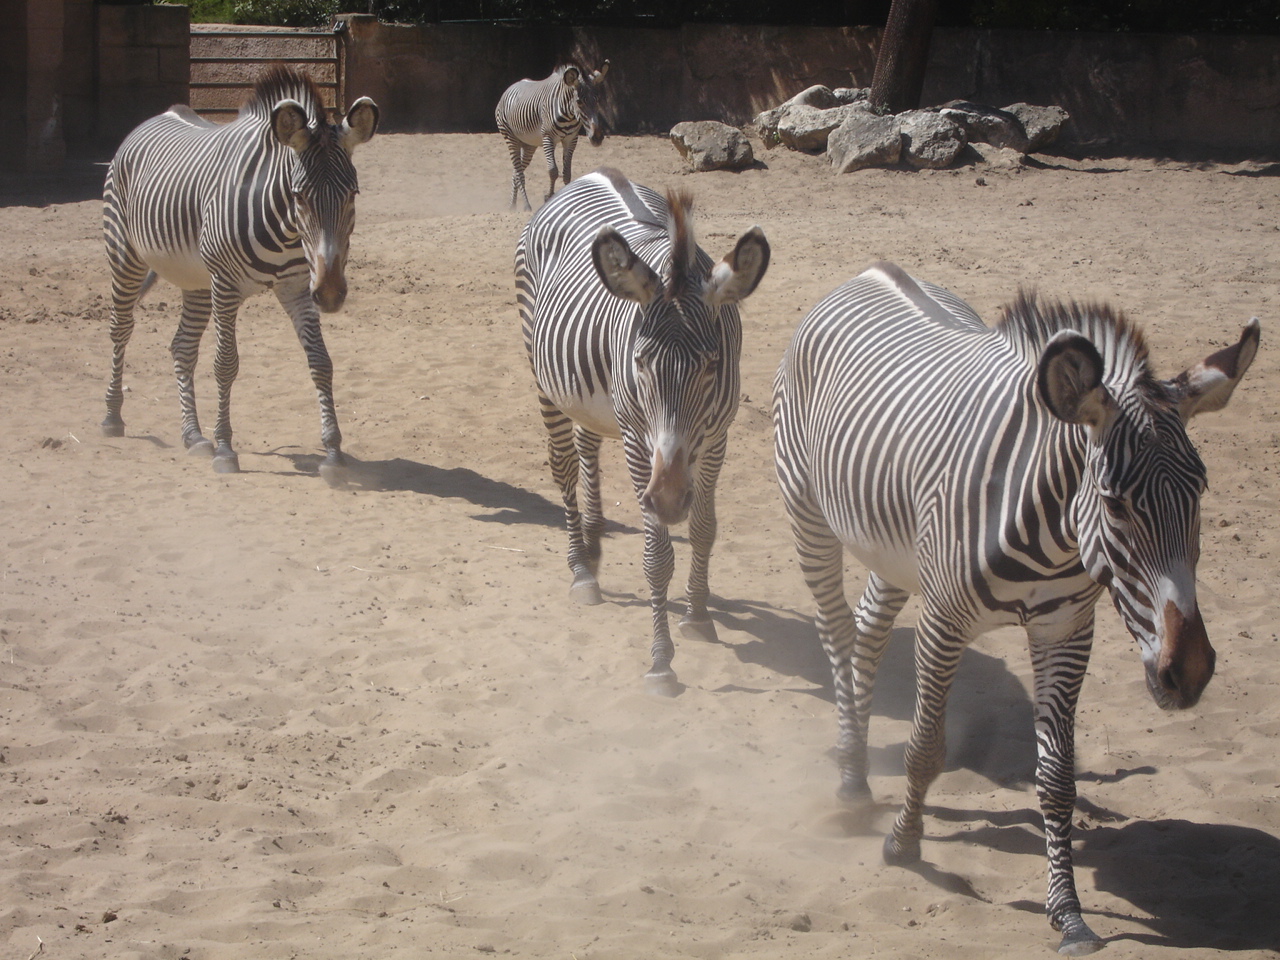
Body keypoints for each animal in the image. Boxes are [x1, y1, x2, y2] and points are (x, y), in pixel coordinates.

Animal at [99, 65, 378, 481]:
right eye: (299, 197)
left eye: (353, 194)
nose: (329, 294)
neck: (283, 227)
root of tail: (157, 116)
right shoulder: (226, 286)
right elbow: (225, 364)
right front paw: (226, 449)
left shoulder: (297, 286)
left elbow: (320, 361)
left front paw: (332, 452)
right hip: (125, 254)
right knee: (121, 329)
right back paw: (113, 417)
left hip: (197, 281)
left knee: (182, 347)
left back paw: (193, 436)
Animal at [494, 61, 609, 211]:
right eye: (579, 102)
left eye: (597, 100)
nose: (597, 137)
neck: (569, 115)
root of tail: (510, 88)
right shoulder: (548, 138)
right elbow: (553, 171)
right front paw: (549, 197)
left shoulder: (571, 140)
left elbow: (567, 174)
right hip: (510, 138)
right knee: (519, 173)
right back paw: (526, 205)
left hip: (529, 145)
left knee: (515, 172)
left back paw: (512, 206)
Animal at [517, 165, 768, 691]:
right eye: (641, 362)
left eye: (713, 364)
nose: (669, 499)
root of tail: (592, 173)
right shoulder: (638, 440)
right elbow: (658, 558)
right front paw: (661, 660)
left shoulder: (717, 437)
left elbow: (705, 529)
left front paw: (697, 614)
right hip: (544, 377)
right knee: (564, 466)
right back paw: (581, 569)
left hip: (592, 398)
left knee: (588, 446)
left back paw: (593, 544)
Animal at [768, 261, 1259, 957]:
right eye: (1115, 504)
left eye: (1202, 492)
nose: (1187, 672)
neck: (1049, 533)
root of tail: (870, 271)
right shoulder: (943, 622)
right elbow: (926, 748)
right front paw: (903, 844)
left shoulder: (1066, 631)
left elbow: (1057, 779)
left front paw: (1068, 912)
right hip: (808, 513)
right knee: (836, 633)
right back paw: (853, 778)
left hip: (894, 552)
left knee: (867, 631)